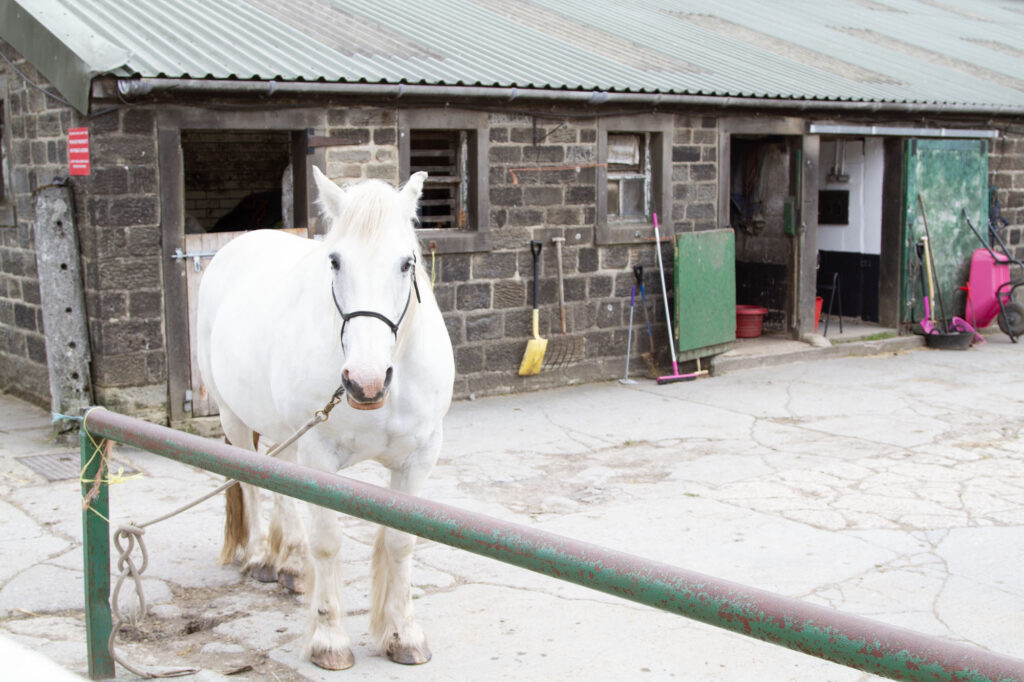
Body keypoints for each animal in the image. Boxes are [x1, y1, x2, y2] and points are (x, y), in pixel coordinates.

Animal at [197, 167, 454, 670]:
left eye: (407, 263)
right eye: (334, 261)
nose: (366, 382)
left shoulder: (418, 458)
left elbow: (401, 542)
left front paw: (403, 634)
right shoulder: (320, 458)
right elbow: (328, 541)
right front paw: (329, 639)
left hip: (287, 434)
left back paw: (291, 566)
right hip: (235, 419)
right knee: (253, 485)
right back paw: (259, 558)